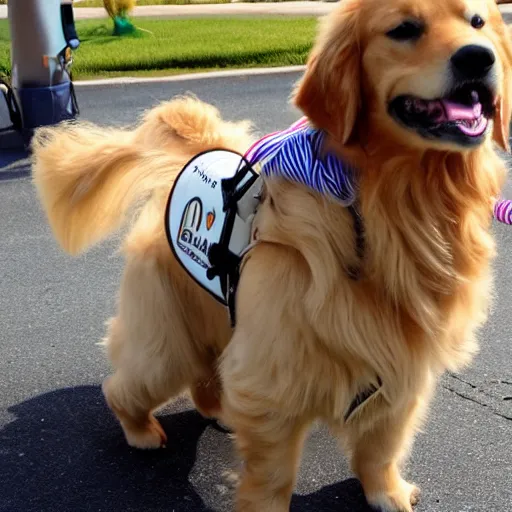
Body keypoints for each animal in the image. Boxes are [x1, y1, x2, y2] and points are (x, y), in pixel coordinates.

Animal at [31, 1, 512, 512]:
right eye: (403, 29)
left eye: (478, 22)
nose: (479, 58)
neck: (392, 205)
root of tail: (192, 157)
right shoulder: (274, 380)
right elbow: (274, 473)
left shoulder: (403, 368)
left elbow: (382, 444)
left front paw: (387, 492)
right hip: (166, 344)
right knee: (126, 385)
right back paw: (141, 431)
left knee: (206, 374)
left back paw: (218, 410)